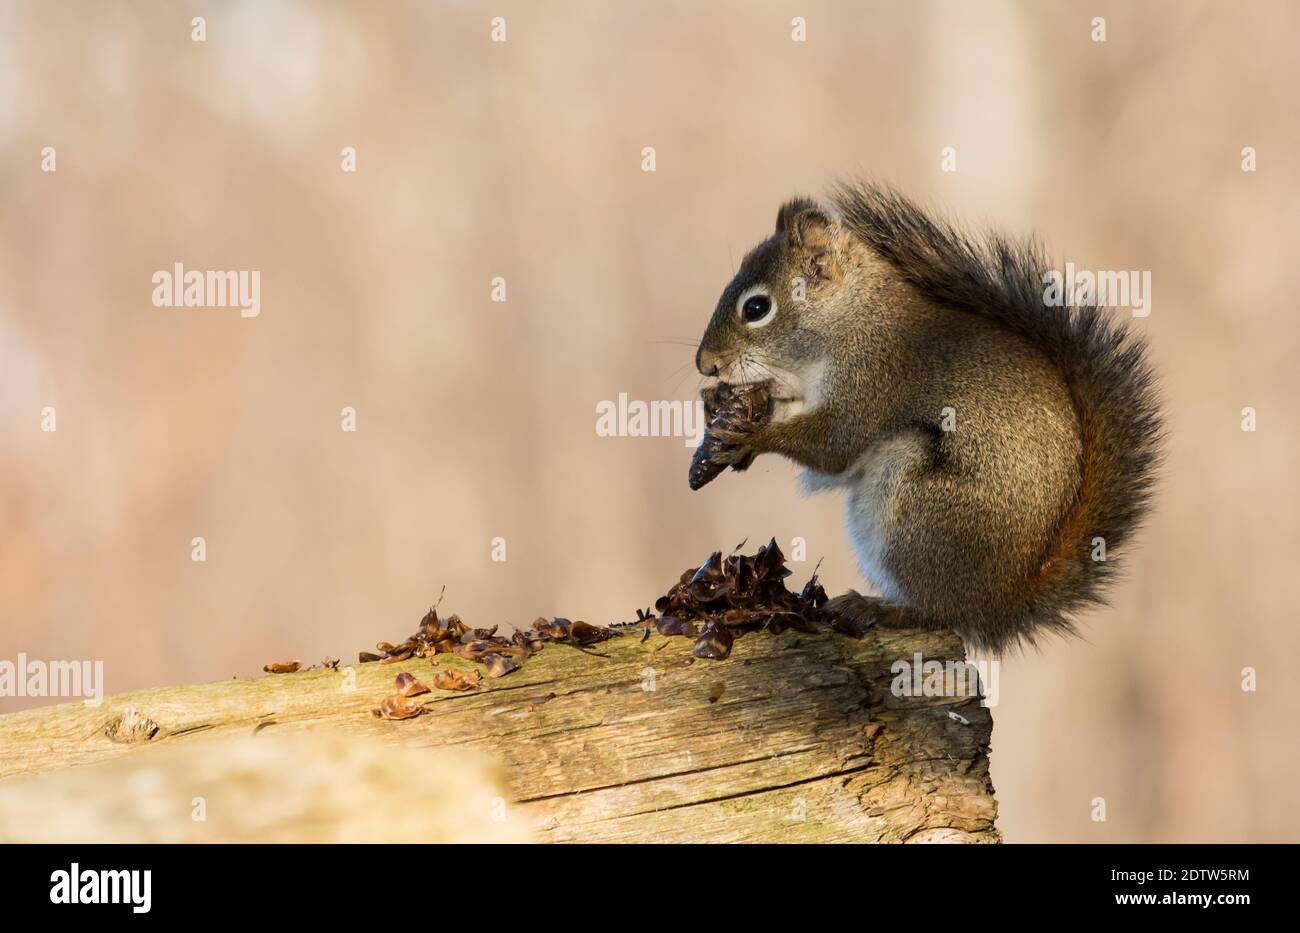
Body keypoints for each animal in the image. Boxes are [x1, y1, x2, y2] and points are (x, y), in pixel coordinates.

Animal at [696, 183, 1164, 657]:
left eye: (757, 307)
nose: (705, 365)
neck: (849, 319)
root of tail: (1003, 604)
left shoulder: (872, 380)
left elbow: (835, 444)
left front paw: (753, 435)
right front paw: (717, 412)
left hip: (921, 508)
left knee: (939, 612)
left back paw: (882, 608)